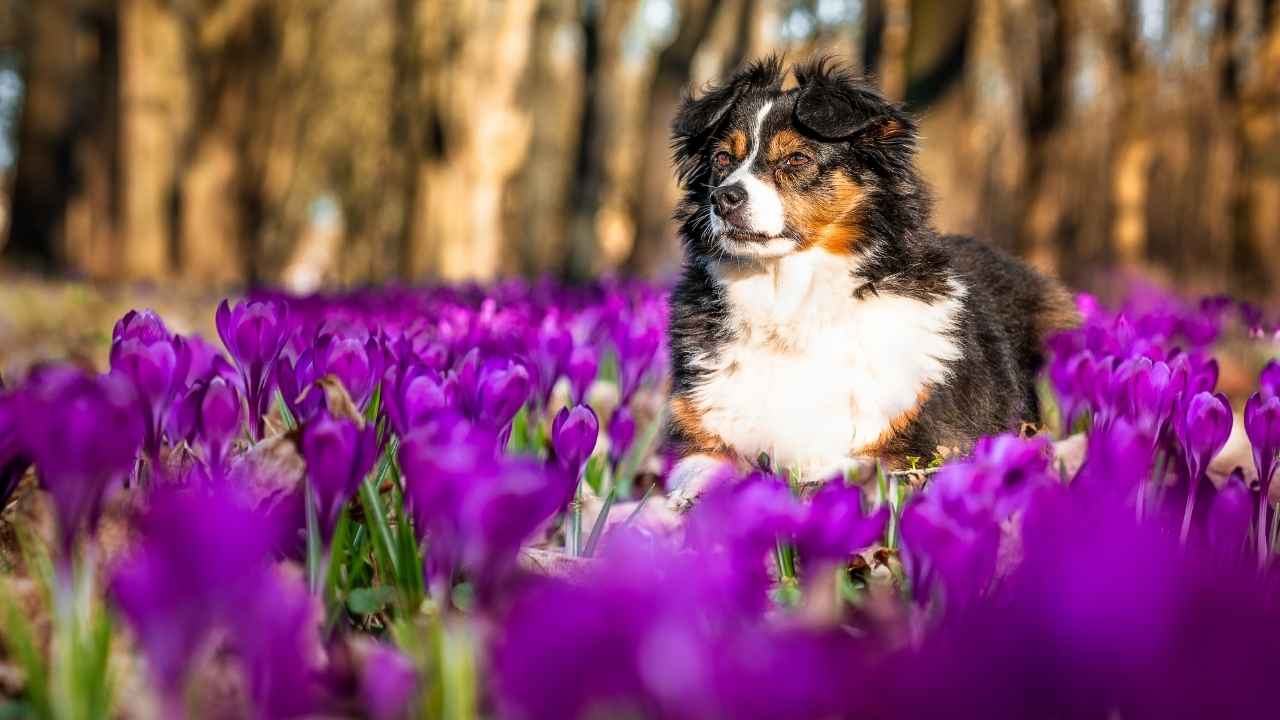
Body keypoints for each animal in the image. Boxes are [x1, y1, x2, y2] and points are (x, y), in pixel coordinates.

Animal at [665, 57, 1075, 499]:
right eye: (723, 159)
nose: (723, 198)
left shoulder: (923, 444)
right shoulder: (702, 438)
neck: (791, 302)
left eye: (796, 159)